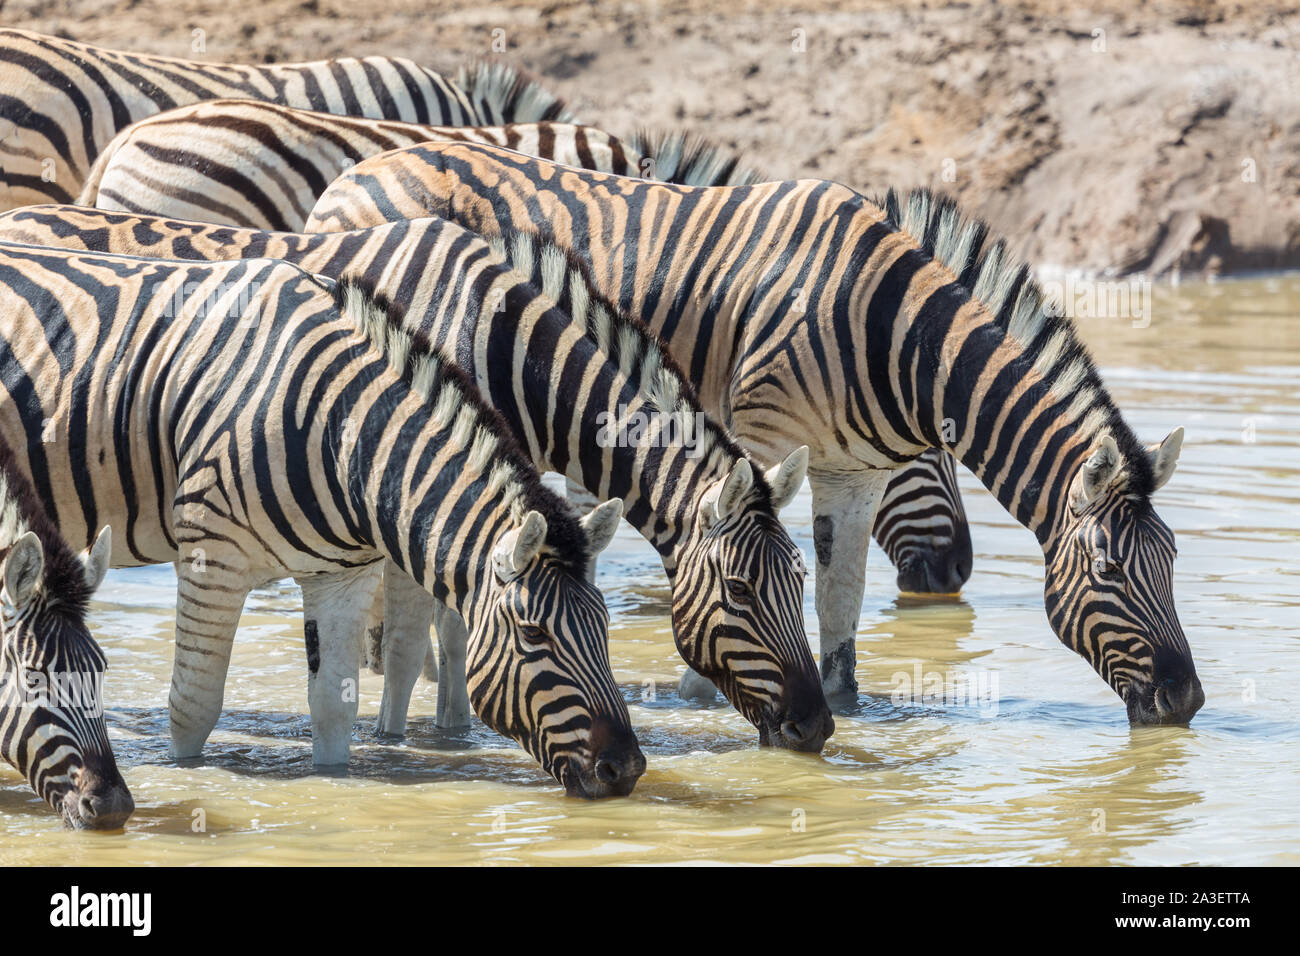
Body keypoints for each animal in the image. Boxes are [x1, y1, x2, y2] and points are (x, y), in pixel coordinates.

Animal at [304, 143, 1206, 724]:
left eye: (1172, 564)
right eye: (1113, 571)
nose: (1187, 701)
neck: (889, 331)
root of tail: (355, 171)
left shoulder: (850, 472)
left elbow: (841, 596)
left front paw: (844, 698)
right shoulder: (766, 439)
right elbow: (737, 555)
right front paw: (707, 693)